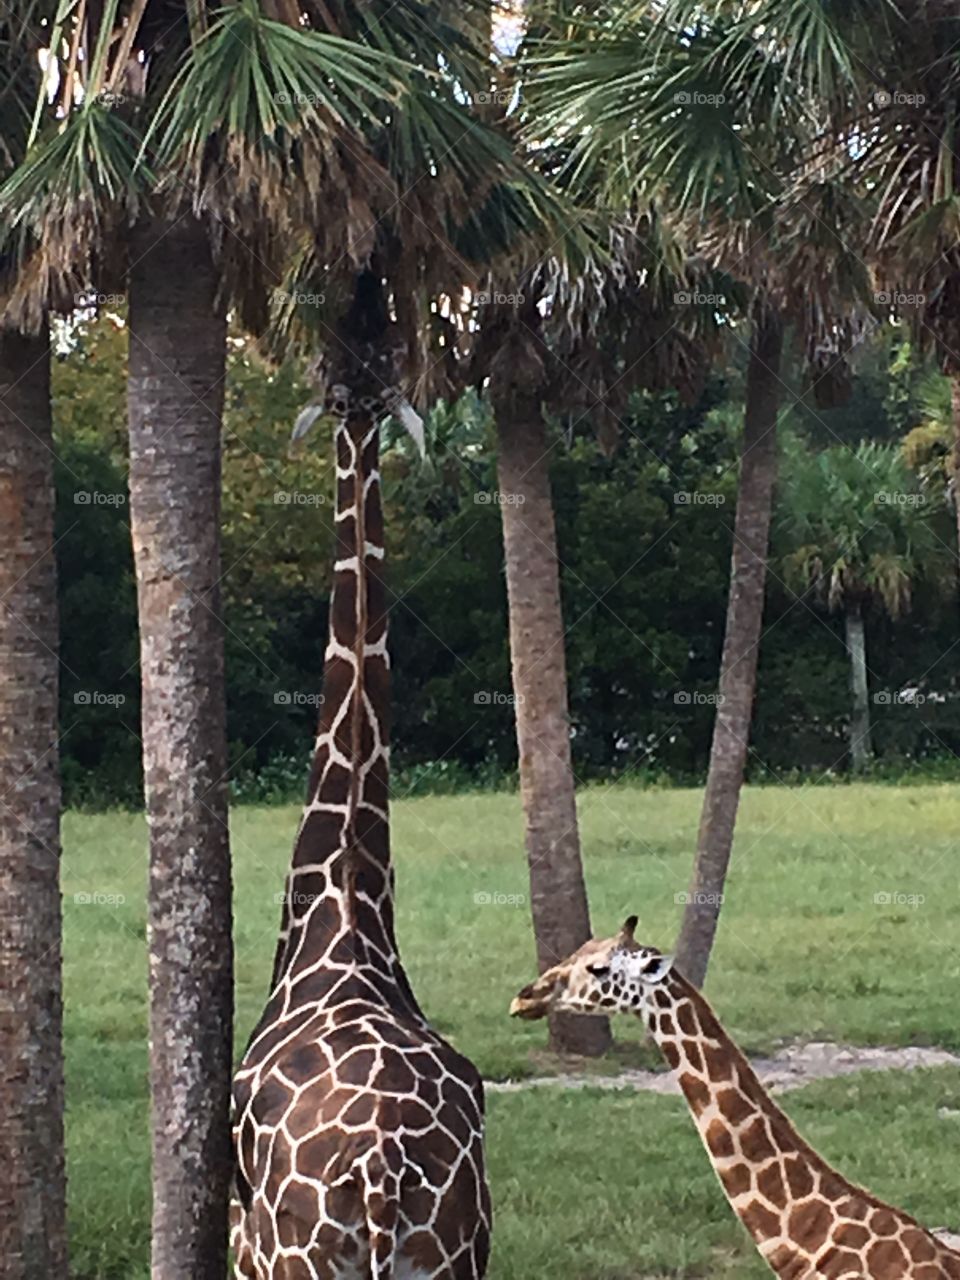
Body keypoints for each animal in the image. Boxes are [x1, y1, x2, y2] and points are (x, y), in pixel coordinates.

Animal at [231, 270, 491, 1280]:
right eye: (354, 383)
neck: (344, 901)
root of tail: (381, 1168)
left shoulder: (237, 1242)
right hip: (453, 1257)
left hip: (295, 1260)